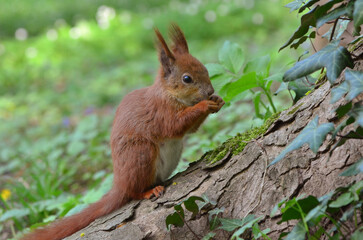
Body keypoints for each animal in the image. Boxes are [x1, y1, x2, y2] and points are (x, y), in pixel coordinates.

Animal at [22, 23, 225, 240]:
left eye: (205, 69)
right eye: (187, 78)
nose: (210, 91)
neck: (170, 94)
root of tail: (119, 183)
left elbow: (192, 129)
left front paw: (217, 100)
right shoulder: (161, 113)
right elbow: (176, 125)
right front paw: (205, 104)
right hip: (141, 155)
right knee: (133, 192)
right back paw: (147, 192)